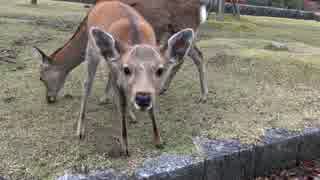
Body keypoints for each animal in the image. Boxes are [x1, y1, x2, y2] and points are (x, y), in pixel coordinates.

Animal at [33, 0, 212, 104]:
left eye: (41, 77)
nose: (49, 98)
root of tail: (201, 7)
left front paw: (105, 98)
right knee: (185, 58)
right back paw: (164, 89)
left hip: (184, 27)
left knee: (198, 56)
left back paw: (203, 96)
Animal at [73, 1, 192, 155]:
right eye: (126, 69)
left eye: (160, 70)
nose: (142, 99)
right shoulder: (117, 73)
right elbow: (121, 104)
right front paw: (125, 146)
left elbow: (151, 108)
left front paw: (159, 140)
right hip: (92, 49)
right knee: (88, 84)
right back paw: (80, 130)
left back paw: (132, 115)